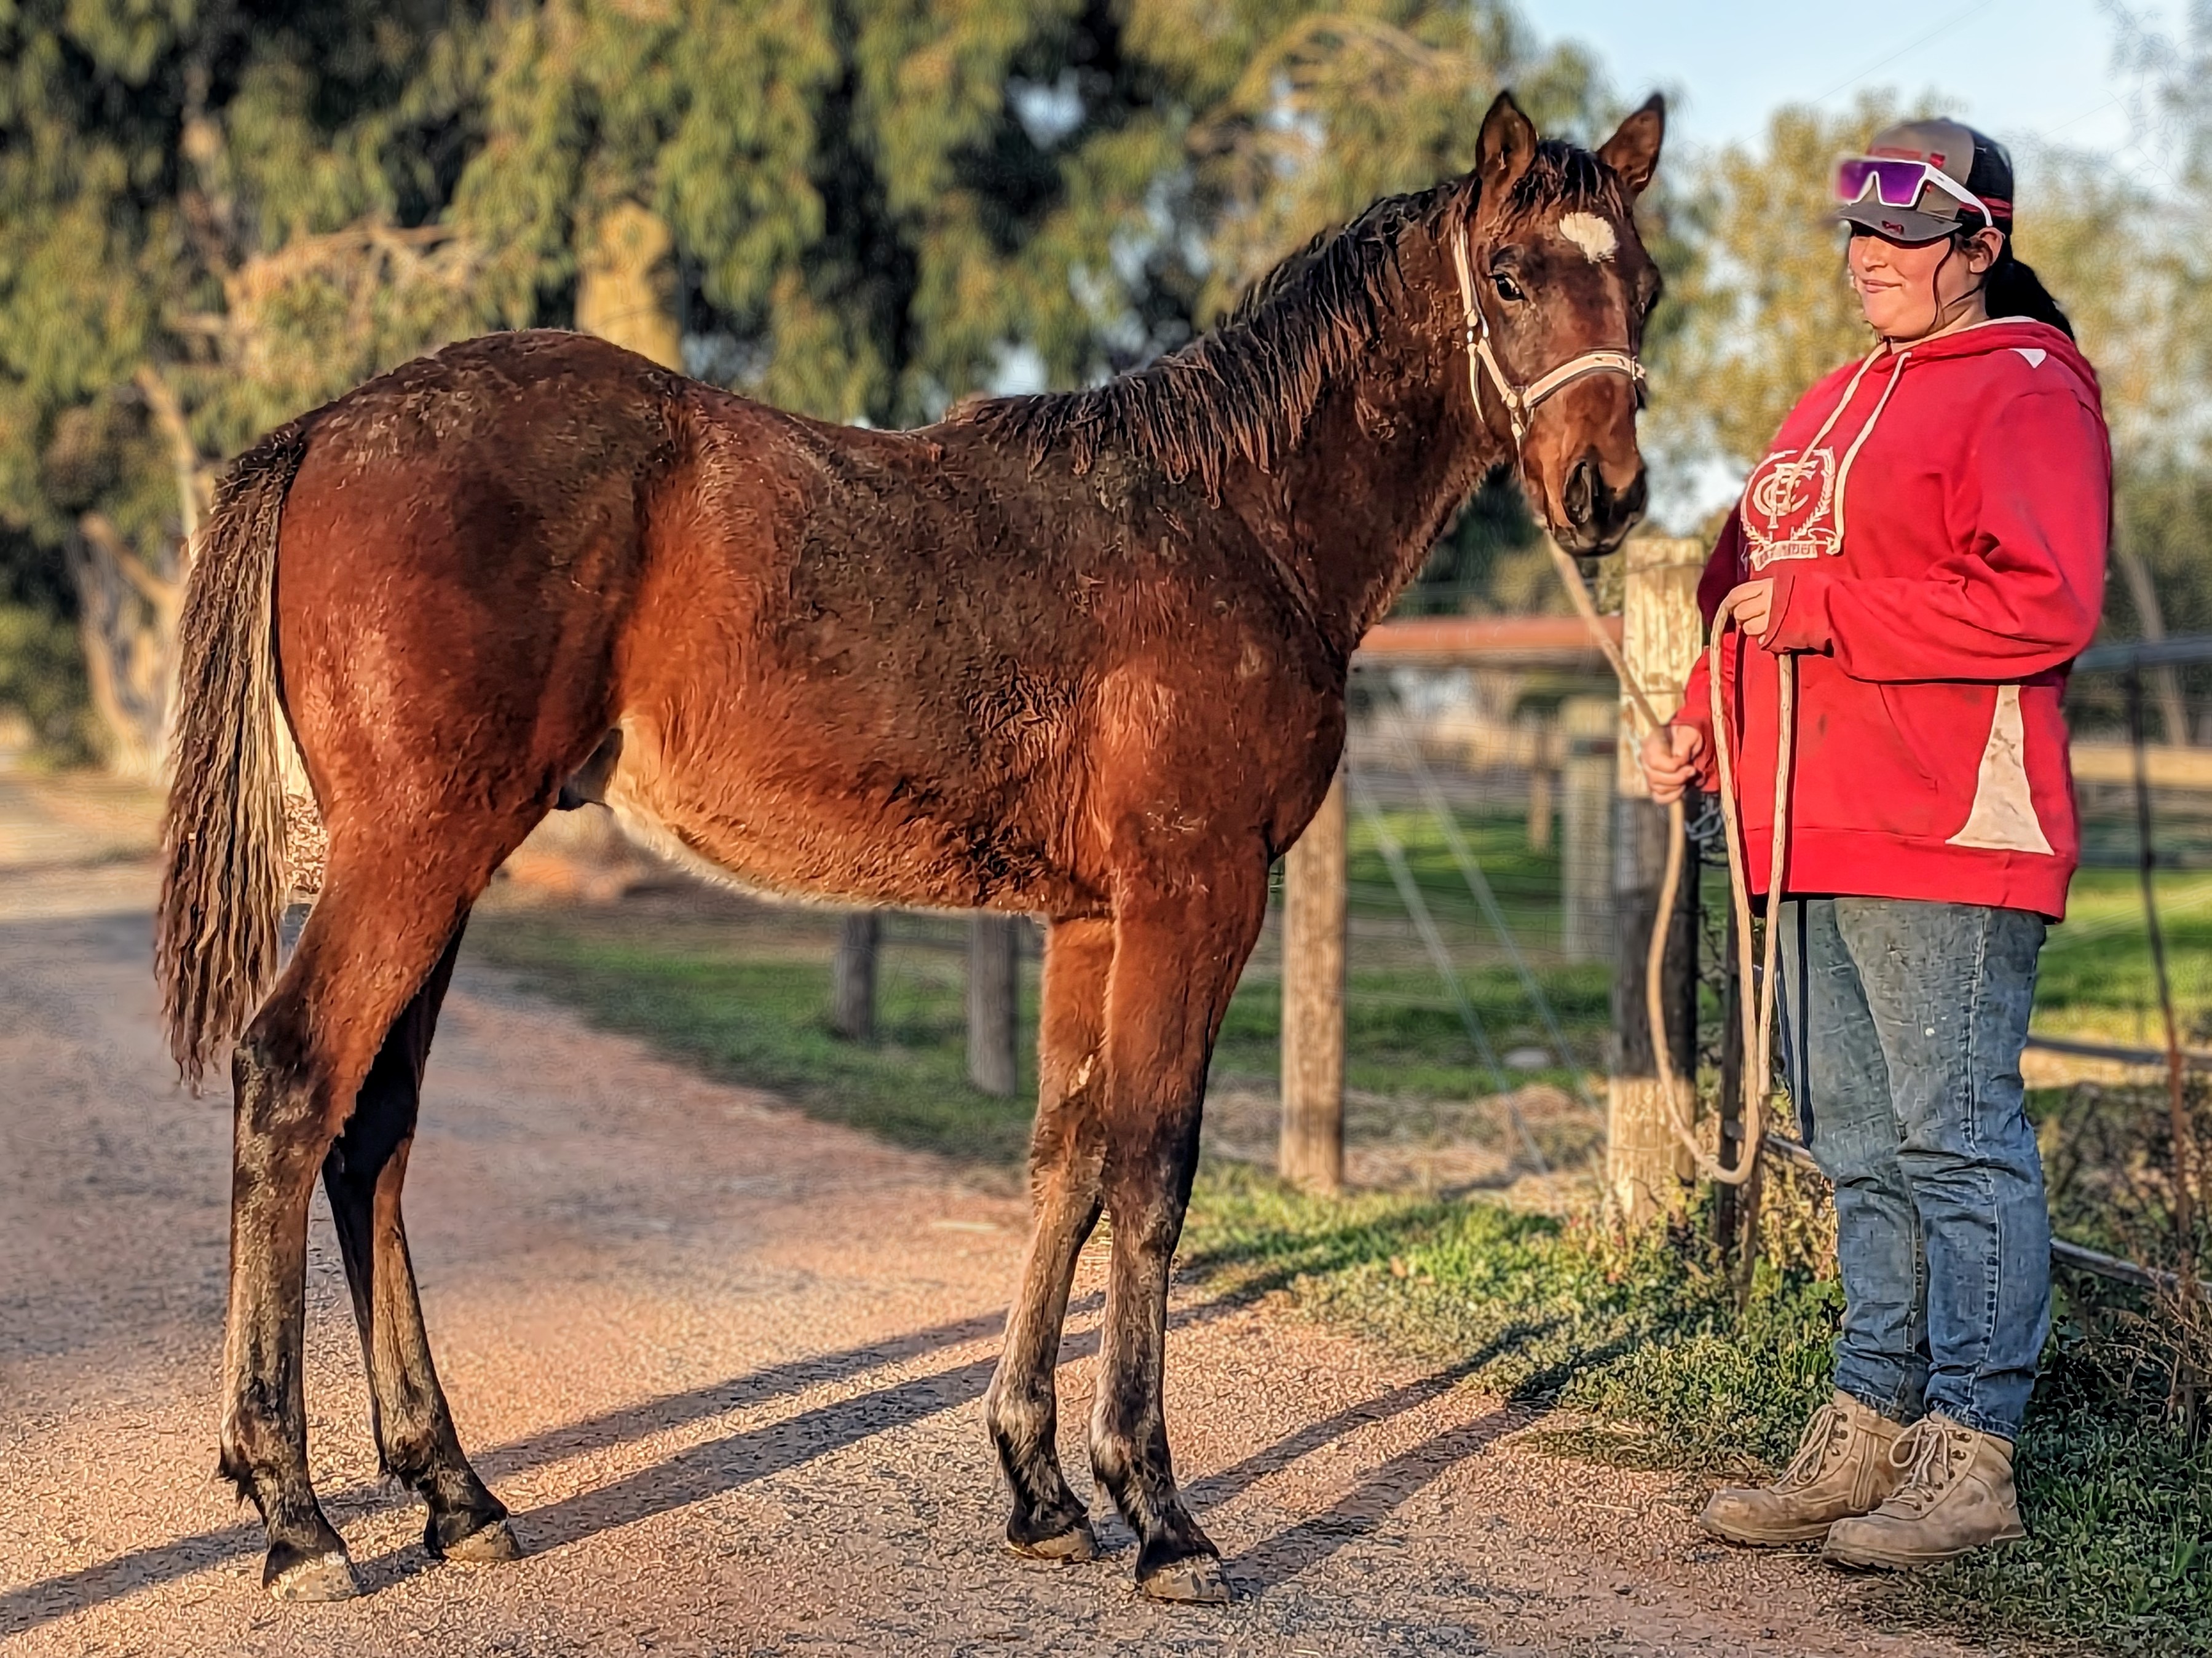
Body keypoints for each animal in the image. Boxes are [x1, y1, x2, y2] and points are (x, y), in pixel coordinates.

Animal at [154, 89, 1665, 1606]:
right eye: (1511, 275)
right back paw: (296, 1513)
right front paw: (1157, 1510)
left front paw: (1041, 1486)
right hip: (415, 853)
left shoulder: (1093, 917)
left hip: (442, 867)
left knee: (374, 1134)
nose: (1606, 494)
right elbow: (1152, 1175)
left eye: (1642, 285)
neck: (1230, 518)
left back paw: (452, 1490)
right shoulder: (1197, 893)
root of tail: (329, 428)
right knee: (291, 1084)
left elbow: (1065, 1161)